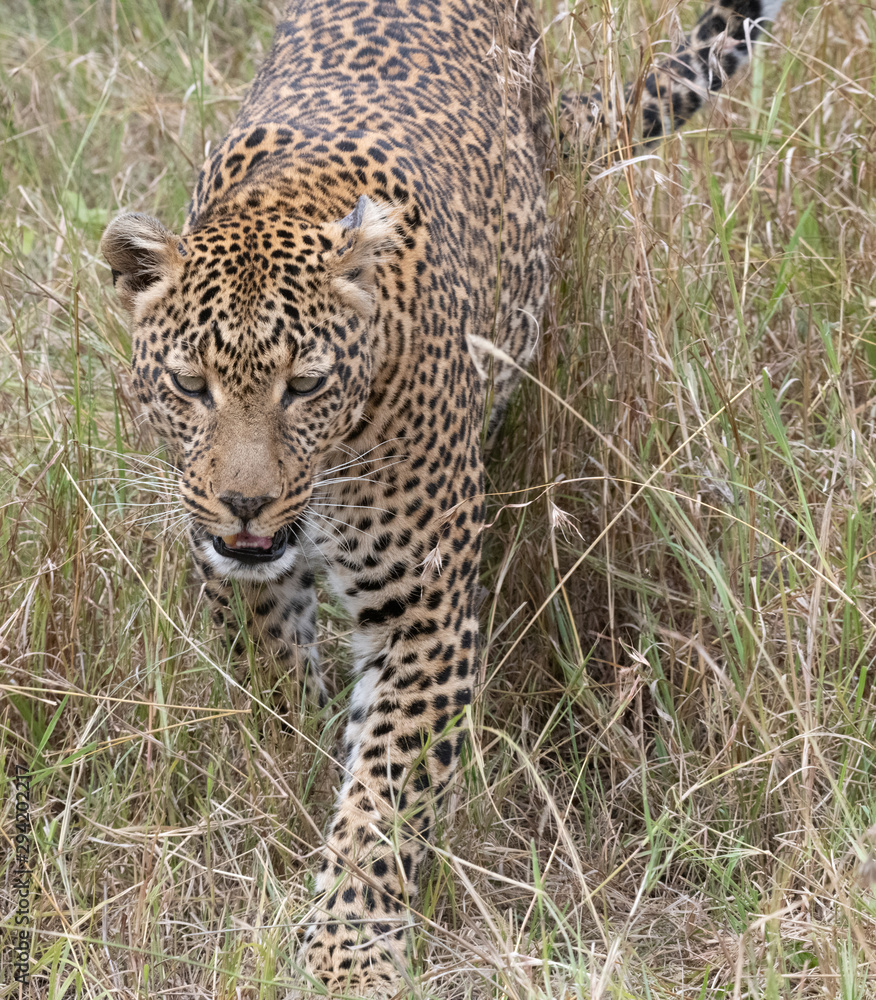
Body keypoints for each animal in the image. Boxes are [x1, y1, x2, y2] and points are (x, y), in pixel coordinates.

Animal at [101, 0, 785, 994]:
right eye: (192, 386)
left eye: (305, 387)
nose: (243, 503)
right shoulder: (243, 574)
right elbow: (280, 680)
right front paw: (299, 757)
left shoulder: (420, 613)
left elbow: (385, 797)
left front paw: (349, 951)